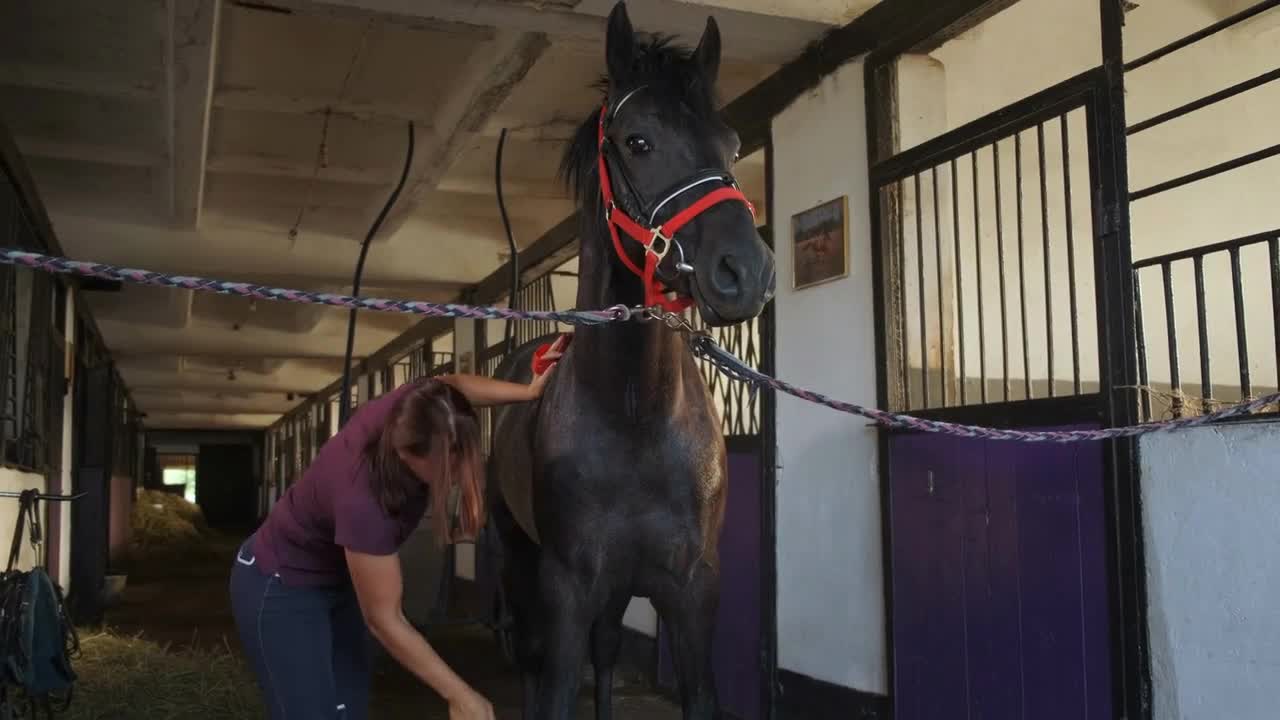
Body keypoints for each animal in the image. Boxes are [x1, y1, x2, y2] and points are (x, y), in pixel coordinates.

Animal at [483, 2, 773, 712]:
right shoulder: (565, 587)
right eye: (638, 142)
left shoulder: (692, 590)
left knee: (609, 650)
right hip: (516, 554)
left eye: (731, 145)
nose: (746, 273)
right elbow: (555, 687)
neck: (636, 412)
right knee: (529, 654)